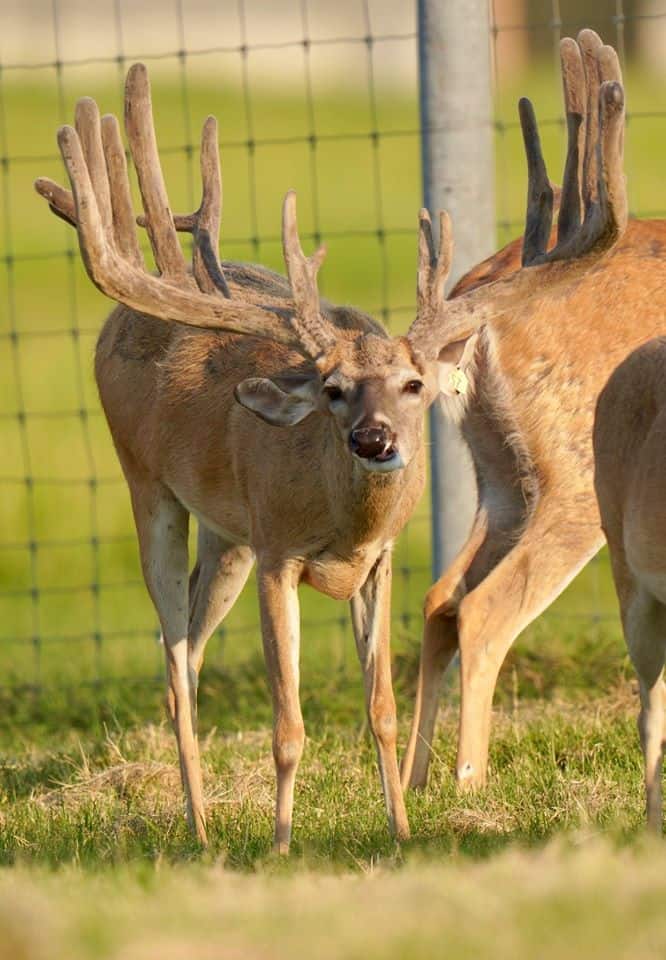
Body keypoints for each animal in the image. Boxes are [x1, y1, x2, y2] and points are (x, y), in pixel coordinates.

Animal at [34, 63, 503, 851]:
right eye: (334, 391)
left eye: (414, 385)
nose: (375, 440)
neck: (342, 520)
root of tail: (122, 312)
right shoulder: (279, 553)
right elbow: (288, 724)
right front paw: (283, 845)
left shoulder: (378, 560)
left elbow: (382, 707)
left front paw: (402, 831)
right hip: (147, 486)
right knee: (172, 661)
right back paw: (198, 830)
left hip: (228, 539)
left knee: (189, 648)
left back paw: (200, 819)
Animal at [400, 29, 666, 799]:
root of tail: (479, 314)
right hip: (575, 477)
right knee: (484, 609)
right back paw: (470, 784)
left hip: (503, 472)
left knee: (441, 597)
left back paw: (413, 781)